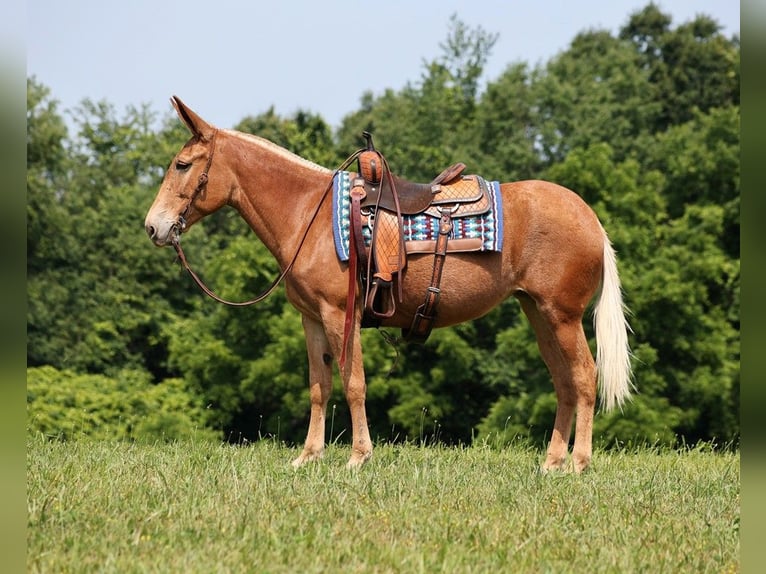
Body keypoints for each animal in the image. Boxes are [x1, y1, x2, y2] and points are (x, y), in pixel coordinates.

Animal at [146, 97, 636, 474]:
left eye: (182, 164)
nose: (154, 226)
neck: (309, 213)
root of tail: (591, 219)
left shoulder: (338, 314)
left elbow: (353, 383)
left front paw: (358, 458)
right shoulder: (311, 319)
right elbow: (319, 386)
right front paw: (308, 457)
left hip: (562, 315)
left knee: (584, 376)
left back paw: (578, 463)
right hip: (538, 312)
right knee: (563, 381)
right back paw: (552, 462)